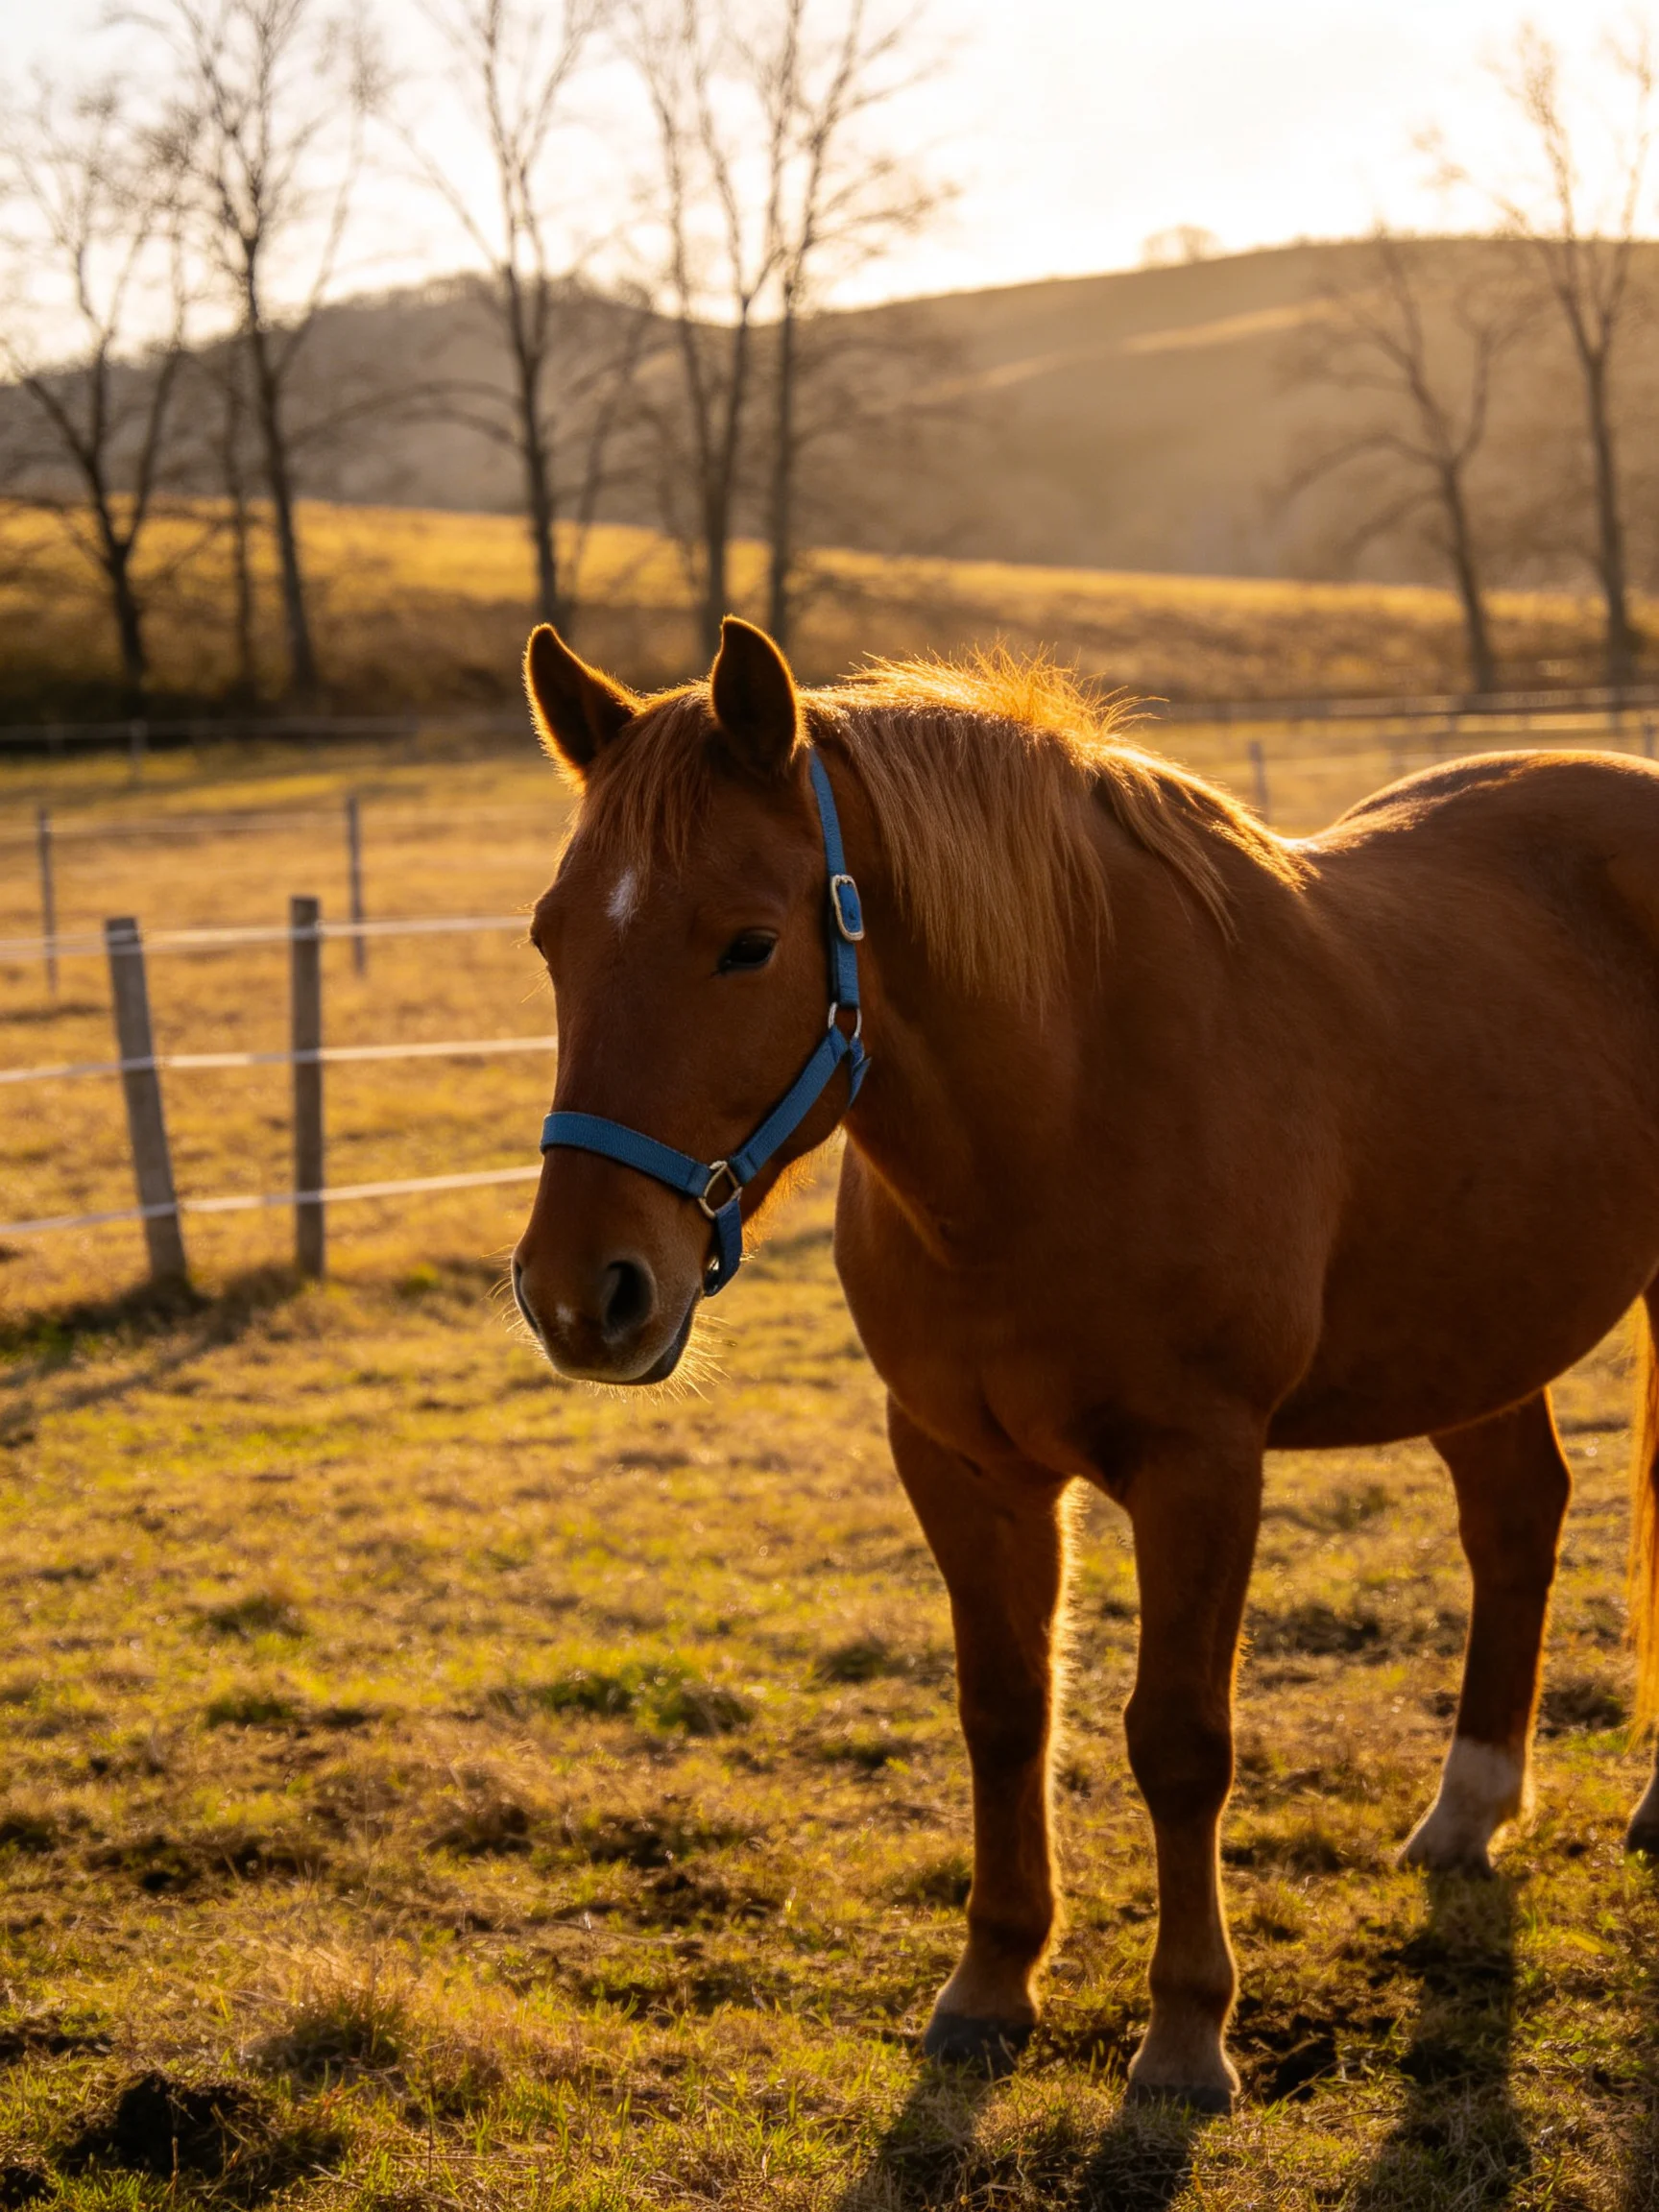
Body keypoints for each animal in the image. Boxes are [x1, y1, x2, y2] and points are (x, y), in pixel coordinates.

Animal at [510, 613, 1659, 2114]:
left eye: (748, 945)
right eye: (551, 939)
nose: (581, 1295)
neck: (1063, 1107)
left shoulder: (1200, 1468)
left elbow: (1178, 1740)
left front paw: (1187, 2035)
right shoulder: (960, 1464)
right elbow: (1006, 1713)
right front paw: (991, 1986)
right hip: (1473, 1326)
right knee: (1517, 1516)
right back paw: (1466, 1813)